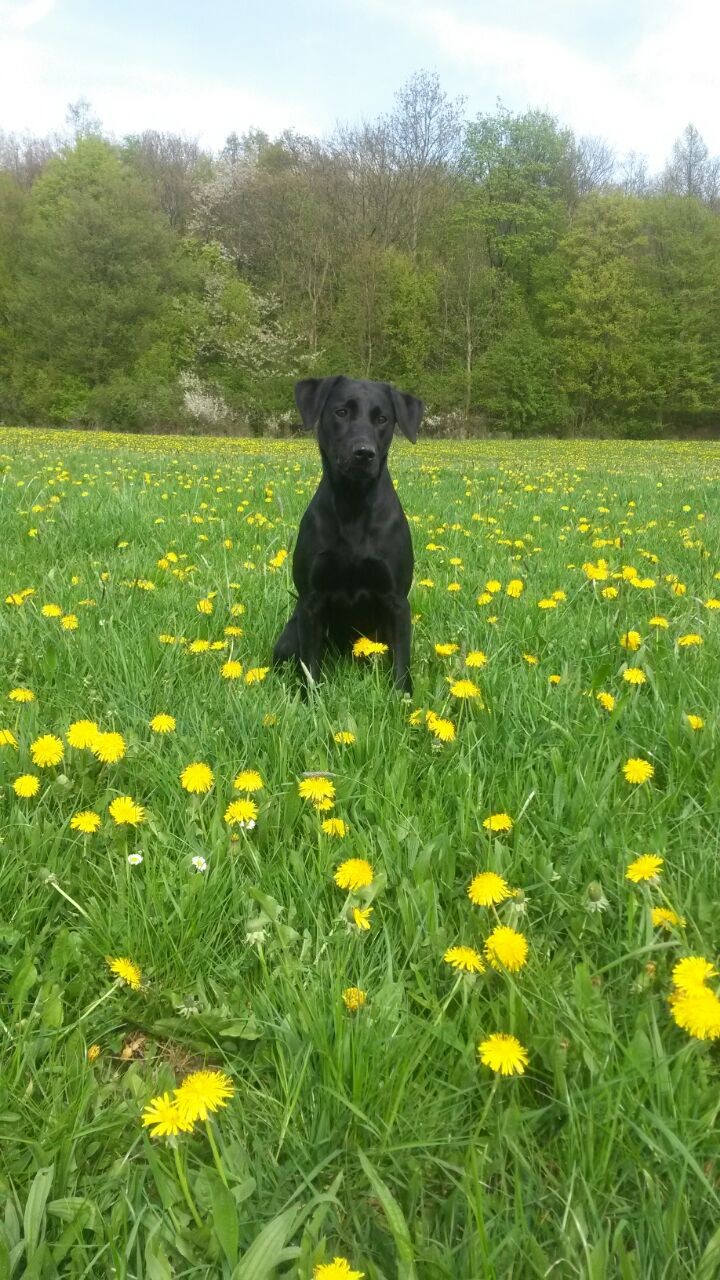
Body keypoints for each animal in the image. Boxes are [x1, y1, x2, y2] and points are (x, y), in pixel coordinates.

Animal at [272, 373, 420, 696]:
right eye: (341, 412)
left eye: (382, 418)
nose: (364, 453)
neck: (353, 505)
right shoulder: (310, 602)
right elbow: (310, 665)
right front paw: (311, 700)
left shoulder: (397, 602)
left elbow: (402, 663)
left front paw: (403, 700)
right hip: (289, 635)